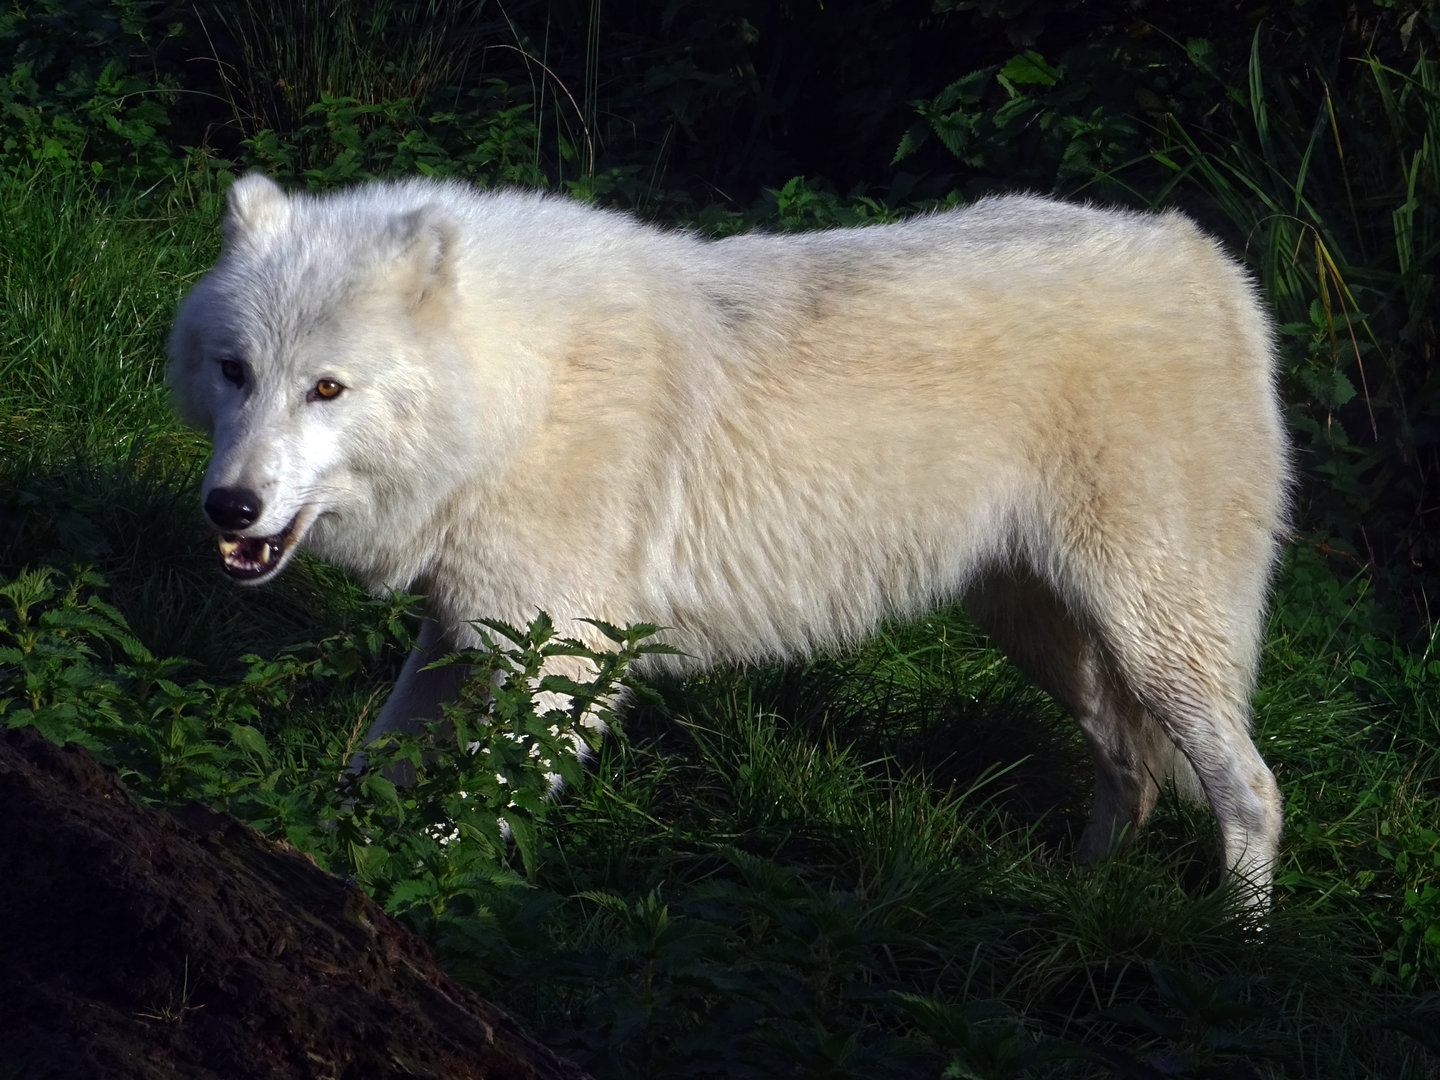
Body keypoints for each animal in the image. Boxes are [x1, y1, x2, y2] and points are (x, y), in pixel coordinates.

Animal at [168, 173, 1290, 905]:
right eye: (235, 370)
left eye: (326, 389)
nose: (229, 510)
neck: (518, 393)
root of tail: (1204, 256)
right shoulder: (457, 636)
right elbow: (368, 773)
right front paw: (303, 856)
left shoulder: (558, 666)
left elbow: (463, 825)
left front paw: (416, 903)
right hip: (1046, 634)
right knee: (1132, 774)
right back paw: (1081, 898)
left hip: (1155, 638)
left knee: (1252, 792)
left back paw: (1235, 951)